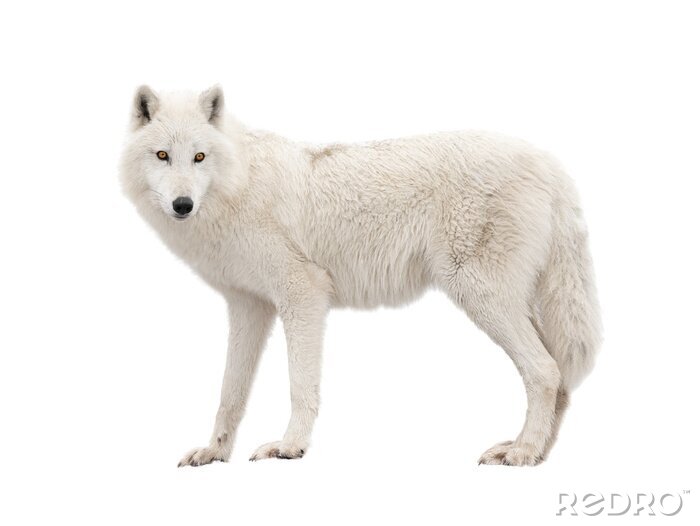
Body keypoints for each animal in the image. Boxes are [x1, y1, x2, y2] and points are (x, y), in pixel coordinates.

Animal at [119, 85, 602, 467]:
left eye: (199, 157)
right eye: (162, 156)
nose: (182, 205)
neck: (239, 185)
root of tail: (548, 162)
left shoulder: (303, 293)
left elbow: (300, 385)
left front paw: (290, 447)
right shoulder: (248, 306)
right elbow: (229, 393)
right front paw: (215, 452)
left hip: (481, 296)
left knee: (545, 371)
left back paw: (522, 453)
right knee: (559, 375)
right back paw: (535, 451)